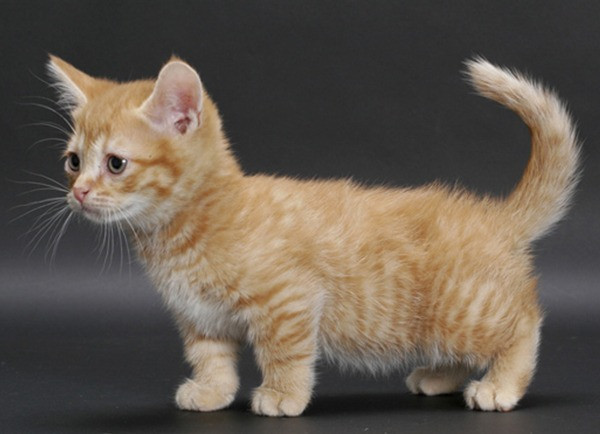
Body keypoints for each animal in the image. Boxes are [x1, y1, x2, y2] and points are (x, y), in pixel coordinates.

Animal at [47, 56, 580, 416]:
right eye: (73, 161)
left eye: (116, 163)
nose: (79, 192)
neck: (182, 233)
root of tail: (492, 214)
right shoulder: (200, 317)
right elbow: (211, 357)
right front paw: (212, 392)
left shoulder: (288, 298)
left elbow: (284, 351)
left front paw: (283, 395)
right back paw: (439, 377)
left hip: (461, 310)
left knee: (523, 325)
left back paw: (501, 386)